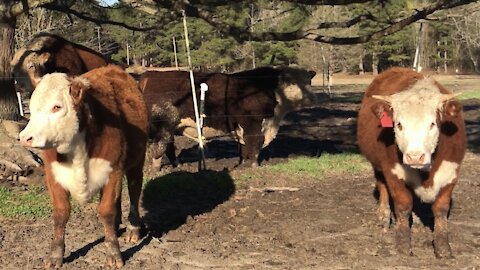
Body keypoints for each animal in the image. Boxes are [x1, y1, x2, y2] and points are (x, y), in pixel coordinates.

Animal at [18, 65, 148, 268]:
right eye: (31, 108)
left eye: (57, 107)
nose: (25, 138)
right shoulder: (53, 175)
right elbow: (61, 213)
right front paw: (55, 255)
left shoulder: (113, 170)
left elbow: (106, 211)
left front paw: (113, 253)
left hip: (136, 162)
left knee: (134, 191)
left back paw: (133, 229)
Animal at [139, 66, 316, 167]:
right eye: (293, 82)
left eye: (309, 81)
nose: (312, 98)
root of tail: (149, 75)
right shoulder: (253, 125)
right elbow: (254, 145)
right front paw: (254, 165)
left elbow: (244, 147)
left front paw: (243, 162)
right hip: (162, 127)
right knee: (159, 148)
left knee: (169, 147)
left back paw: (176, 165)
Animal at [358, 67, 466, 258]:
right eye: (399, 124)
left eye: (432, 124)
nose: (415, 157)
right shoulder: (393, 171)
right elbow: (403, 205)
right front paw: (402, 244)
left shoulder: (451, 172)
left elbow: (441, 209)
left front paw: (443, 248)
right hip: (377, 164)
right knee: (382, 186)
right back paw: (383, 217)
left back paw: (416, 223)